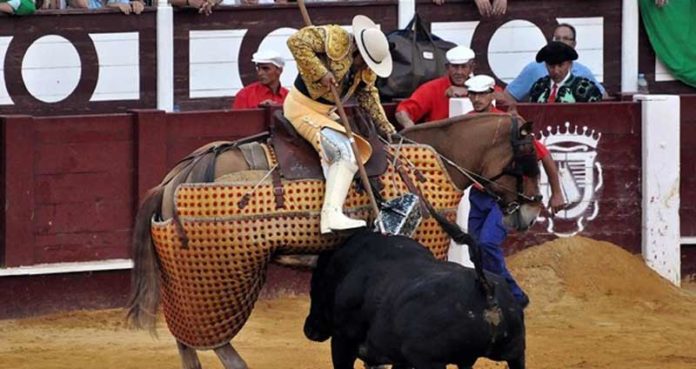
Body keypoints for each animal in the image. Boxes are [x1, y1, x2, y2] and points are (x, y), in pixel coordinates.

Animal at [302, 230, 524, 368]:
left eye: (314, 287)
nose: (310, 330)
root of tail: (484, 287)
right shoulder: (400, 359)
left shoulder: (342, 341)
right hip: (516, 353)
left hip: (430, 362)